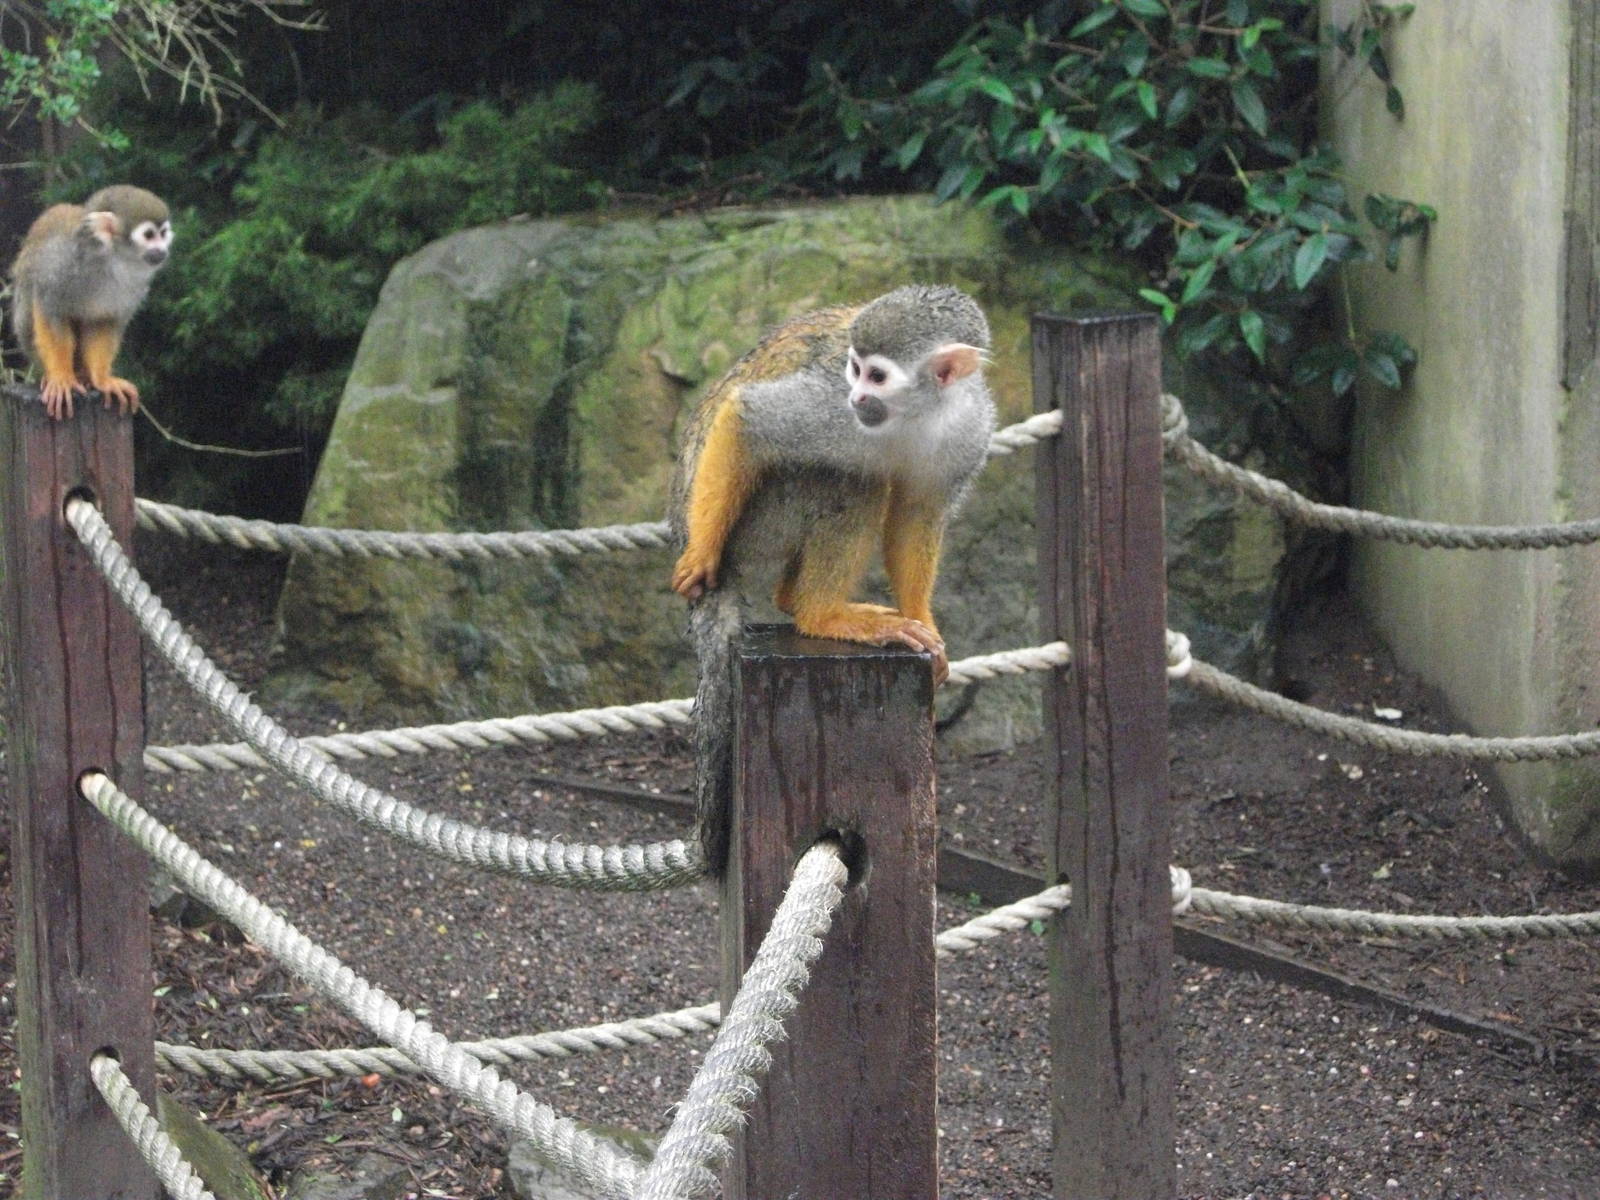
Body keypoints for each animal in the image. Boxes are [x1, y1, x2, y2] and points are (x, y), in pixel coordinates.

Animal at [8, 185, 173, 420]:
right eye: (149, 235)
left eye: (163, 234)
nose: (161, 250)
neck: (113, 260)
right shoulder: (63, 266)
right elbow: (49, 306)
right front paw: (61, 376)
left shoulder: (134, 284)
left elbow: (104, 321)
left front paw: (102, 379)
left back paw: (84, 374)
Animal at [669, 284, 995, 871]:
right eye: (854, 369)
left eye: (878, 376)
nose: (858, 398)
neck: (919, 415)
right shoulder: (830, 407)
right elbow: (747, 419)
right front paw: (699, 557)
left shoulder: (970, 429)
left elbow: (919, 512)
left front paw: (925, 625)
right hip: (756, 523)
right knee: (848, 476)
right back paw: (819, 614)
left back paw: (798, 601)